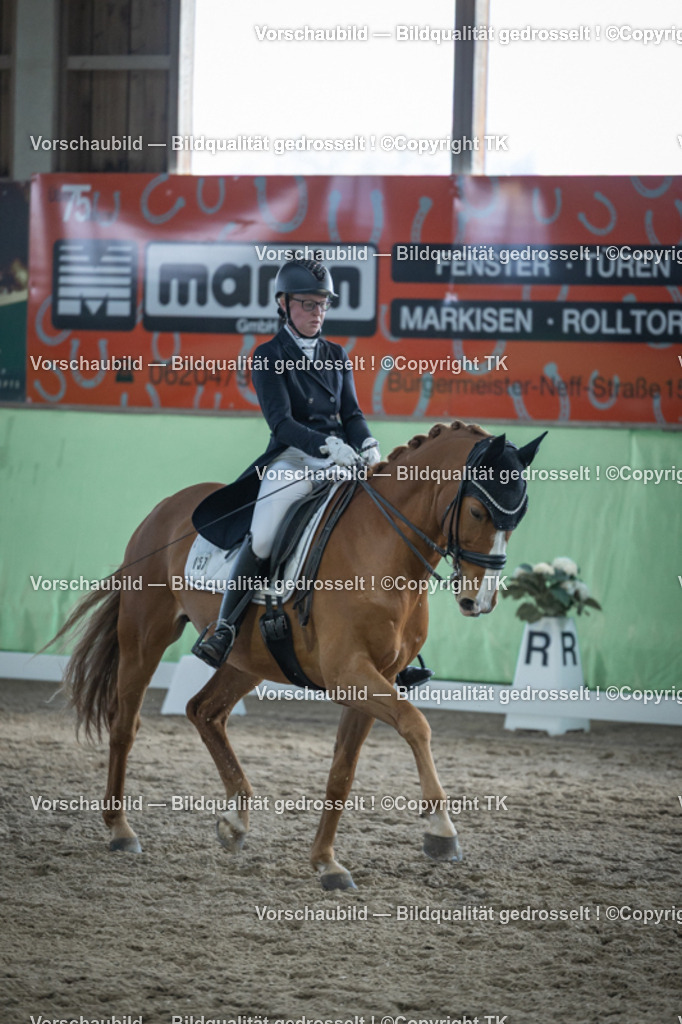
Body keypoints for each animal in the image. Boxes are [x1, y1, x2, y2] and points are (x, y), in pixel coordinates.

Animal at [52, 420, 545, 890]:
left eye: (519, 517)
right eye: (478, 511)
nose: (480, 601)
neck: (384, 548)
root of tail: (166, 507)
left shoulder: (375, 679)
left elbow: (342, 772)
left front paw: (326, 863)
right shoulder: (350, 675)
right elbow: (416, 725)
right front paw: (441, 830)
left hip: (248, 659)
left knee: (203, 711)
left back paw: (235, 820)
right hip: (144, 636)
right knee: (124, 724)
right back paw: (121, 830)